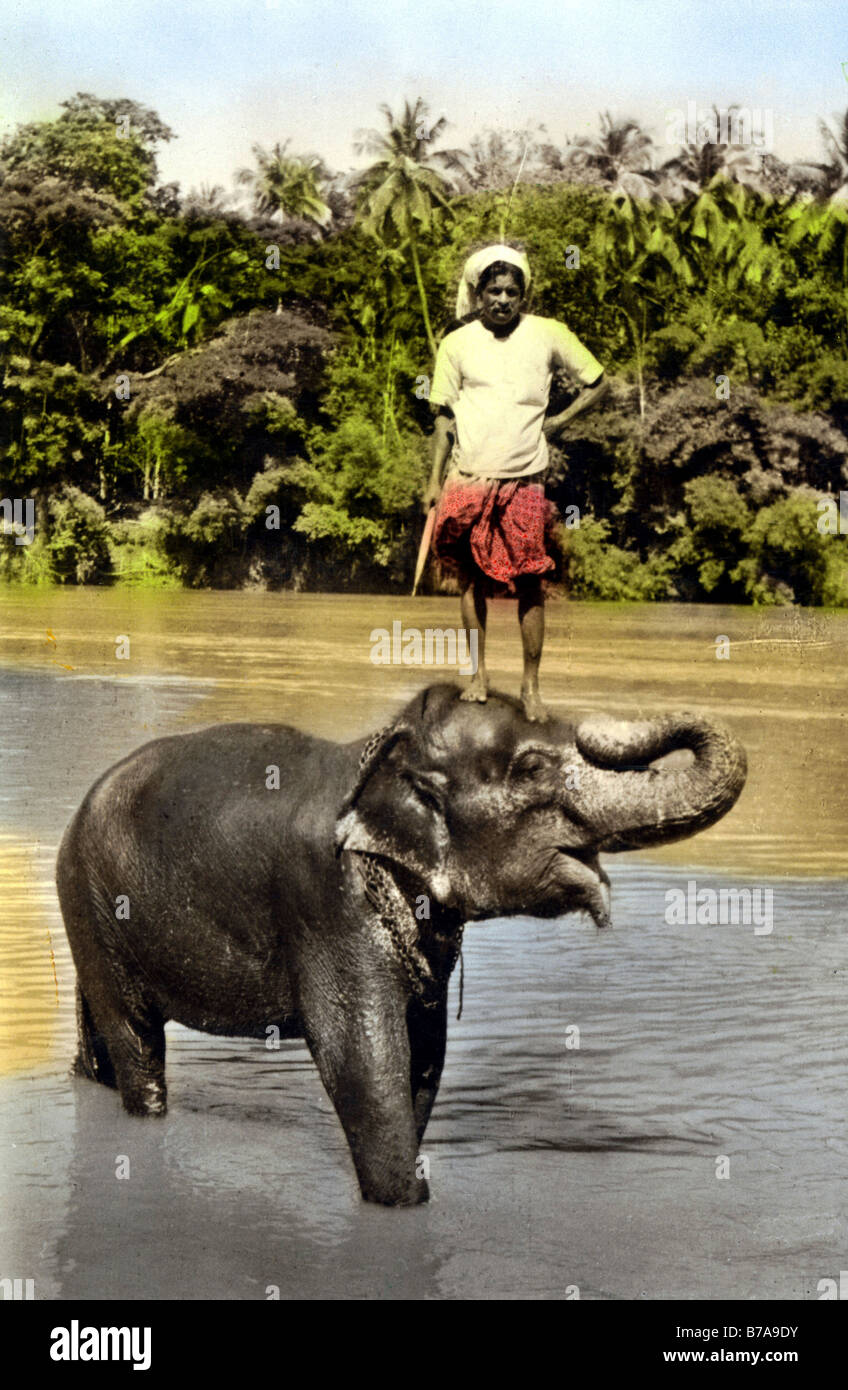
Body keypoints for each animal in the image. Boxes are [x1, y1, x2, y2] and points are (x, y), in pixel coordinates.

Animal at [56, 683, 745, 1206]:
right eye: (531, 769)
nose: (594, 725)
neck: (384, 753)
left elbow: (424, 1054)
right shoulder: (326, 902)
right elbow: (362, 1060)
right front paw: (405, 1206)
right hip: (91, 902)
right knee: (136, 1040)